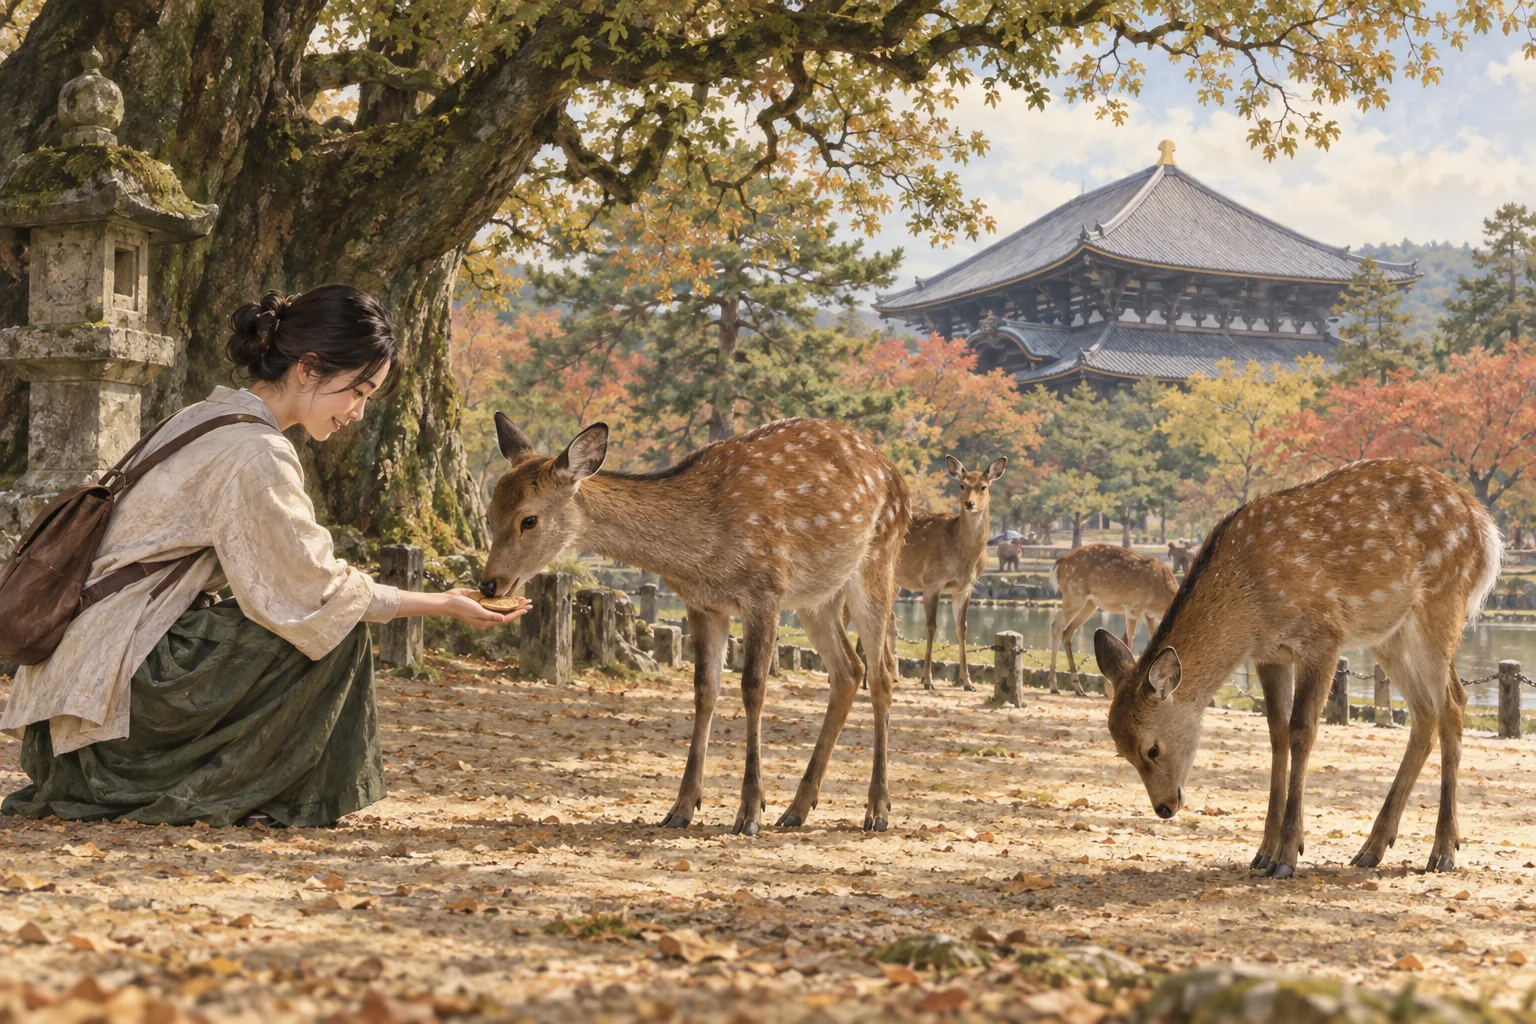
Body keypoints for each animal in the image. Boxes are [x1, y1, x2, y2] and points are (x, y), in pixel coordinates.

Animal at [480, 413, 910, 836]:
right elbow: (704, 689)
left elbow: (753, 688)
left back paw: (877, 810)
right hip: (817, 597)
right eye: (489, 514)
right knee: (849, 670)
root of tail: (898, 480)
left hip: (879, 561)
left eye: (529, 519)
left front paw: (750, 812)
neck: (700, 550)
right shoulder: (702, 604)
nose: (489, 583)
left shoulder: (765, 590)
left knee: (882, 674)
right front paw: (681, 808)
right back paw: (797, 809)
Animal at [894, 456, 1007, 692]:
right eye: (962, 485)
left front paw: (968, 682)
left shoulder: (964, 587)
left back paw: (890, 674)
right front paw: (927, 680)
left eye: (983, 486)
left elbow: (962, 628)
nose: (969, 504)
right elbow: (931, 627)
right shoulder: (931, 582)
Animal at [1048, 544, 1177, 698]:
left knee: (1067, 632)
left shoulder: (1147, 615)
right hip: (1074, 594)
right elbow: (1128, 642)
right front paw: (1113, 690)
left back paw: (1078, 688)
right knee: (1057, 626)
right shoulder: (1133, 607)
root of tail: (1058, 564)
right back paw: (1054, 686)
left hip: (1090, 603)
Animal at [1096, 458, 1501, 878]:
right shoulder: (1270, 654)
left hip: (1441, 603)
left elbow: (1301, 731)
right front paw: (1263, 853)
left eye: (1152, 748)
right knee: (1425, 711)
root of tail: (1485, 525)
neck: (1249, 606)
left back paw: (1443, 852)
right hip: (1389, 633)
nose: (1164, 808)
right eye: (1121, 752)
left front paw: (1288, 856)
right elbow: (1276, 732)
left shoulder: (1323, 635)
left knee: (1453, 703)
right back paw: (1371, 848)